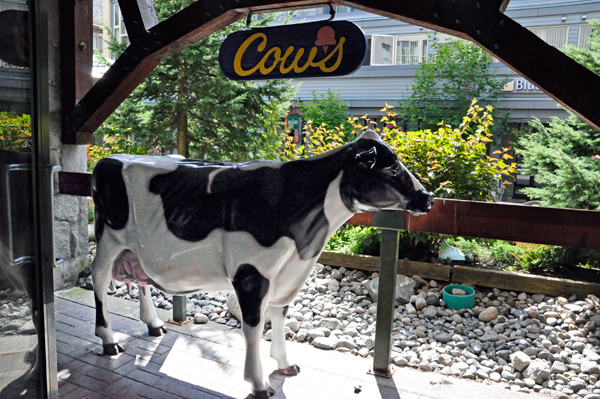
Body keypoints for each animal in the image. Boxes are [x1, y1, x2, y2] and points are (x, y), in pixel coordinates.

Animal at [91, 130, 434, 396]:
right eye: (391, 169)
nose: (428, 198)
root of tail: (109, 158)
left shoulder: (287, 272)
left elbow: (280, 315)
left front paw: (285, 363)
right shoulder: (251, 273)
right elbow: (254, 326)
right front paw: (257, 383)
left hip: (135, 248)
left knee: (140, 278)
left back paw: (153, 324)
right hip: (108, 240)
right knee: (99, 279)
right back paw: (109, 341)